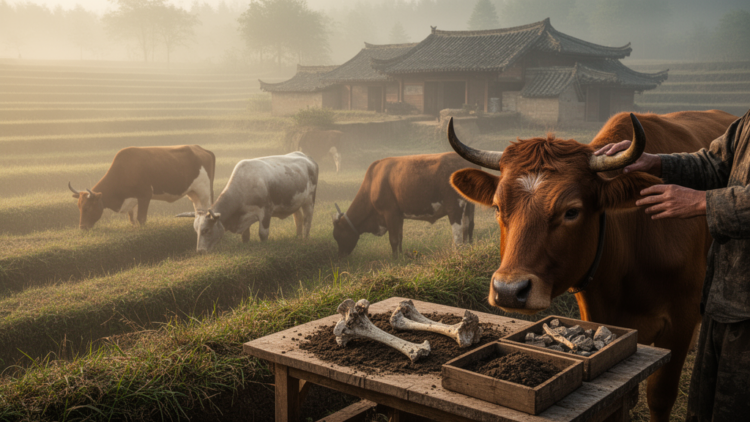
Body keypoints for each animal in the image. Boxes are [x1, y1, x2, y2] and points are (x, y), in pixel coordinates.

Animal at [68, 145, 215, 230]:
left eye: (88, 207)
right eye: (79, 207)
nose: (82, 227)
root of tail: (201, 149)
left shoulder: (145, 196)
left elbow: (141, 218)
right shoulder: (132, 199)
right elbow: (132, 218)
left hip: (204, 191)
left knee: (207, 208)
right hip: (193, 192)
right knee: (198, 208)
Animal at [177, 152, 318, 253]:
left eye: (206, 230)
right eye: (196, 230)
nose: (200, 251)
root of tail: (307, 157)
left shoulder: (266, 211)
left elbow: (263, 234)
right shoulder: (244, 216)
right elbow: (245, 237)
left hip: (309, 200)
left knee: (308, 220)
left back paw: (305, 238)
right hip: (294, 202)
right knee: (298, 219)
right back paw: (297, 237)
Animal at [332, 152, 478, 259]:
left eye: (336, 235)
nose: (340, 256)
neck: (373, 183)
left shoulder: (389, 212)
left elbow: (393, 239)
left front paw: (395, 259)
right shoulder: (398, 215)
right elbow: (400, 237)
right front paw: (401, 256)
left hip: (454, 206)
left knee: (458, 234)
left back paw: (458, 253)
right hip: (469, 206)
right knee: (468, 227)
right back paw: (468, 249)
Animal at [445, 110, 738, 422]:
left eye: (572, 211)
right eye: (498, 207)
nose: (509, 291)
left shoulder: (680, 321)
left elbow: (660, 396)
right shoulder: (595, 311)